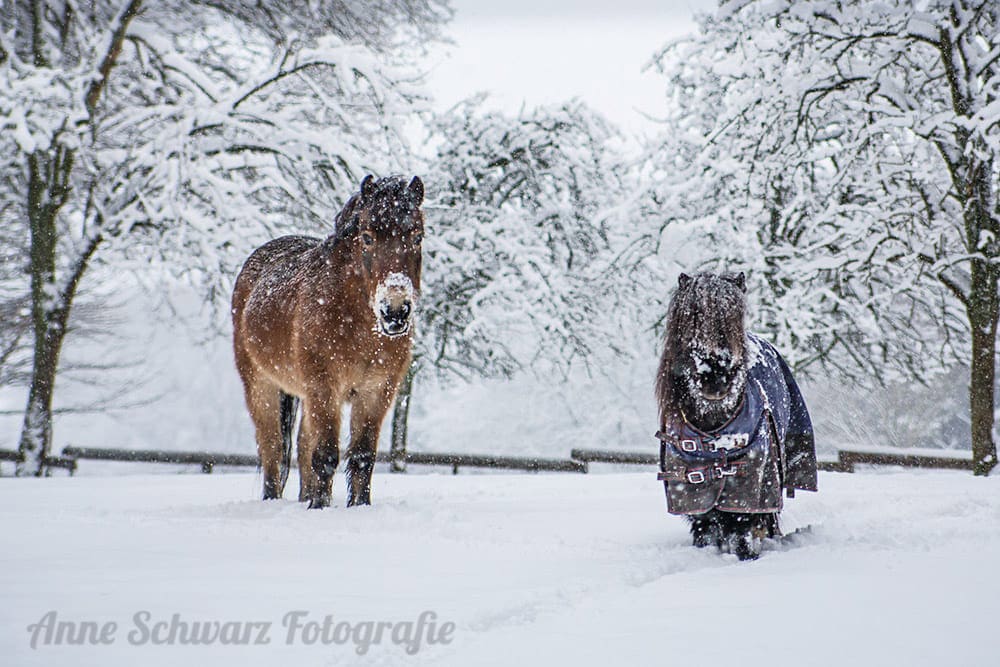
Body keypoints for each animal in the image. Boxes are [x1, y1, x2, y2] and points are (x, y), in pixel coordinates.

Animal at [231, 174, 424, 509]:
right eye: (367, 237)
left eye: (417, 237)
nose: (395, 311)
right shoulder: (324, 386)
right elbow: (325, 456)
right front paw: (319, 507)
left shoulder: (377, 391)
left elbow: (361, 457)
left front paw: (359, 506)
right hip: (260, 385)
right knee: (272, 448)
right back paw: (273, 500)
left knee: (301, 445)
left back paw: (303, 498)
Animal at [655, 272, 817, 560]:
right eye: (692, 316)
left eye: (735, 317)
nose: (716, 378)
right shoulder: (694, 494)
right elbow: (706, 530)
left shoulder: (752, 488)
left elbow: (744, 531)